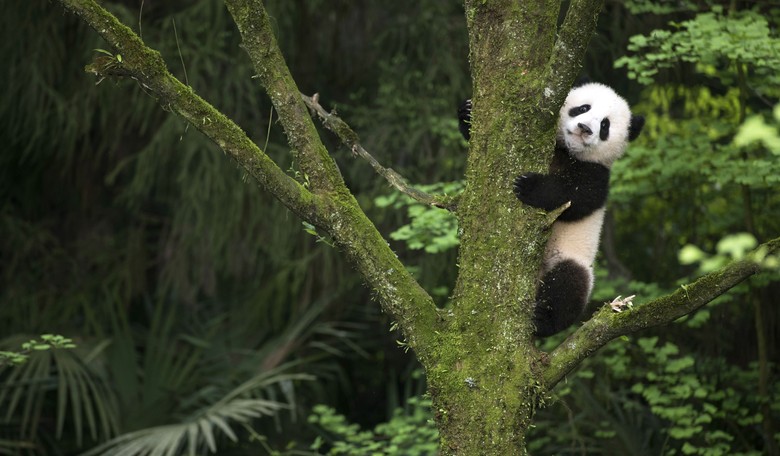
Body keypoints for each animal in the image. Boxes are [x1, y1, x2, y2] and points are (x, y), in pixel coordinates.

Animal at [458, 82, 644, 337]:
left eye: (605, 125)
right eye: (583, 108)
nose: (585, 128)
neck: (567, 151)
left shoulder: (597, 174)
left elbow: (577, 198)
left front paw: (529, 186)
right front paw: (467, 111)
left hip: (570, 260)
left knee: (569, 284)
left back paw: (542, 320)